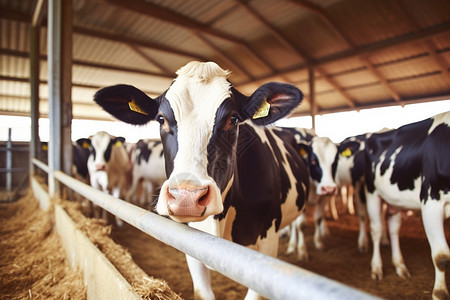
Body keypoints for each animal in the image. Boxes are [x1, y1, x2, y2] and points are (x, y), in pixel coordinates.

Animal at [360, 112, 448, 300]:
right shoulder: (431, 202)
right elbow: (441, 256)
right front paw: (439, 293)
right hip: (372, 194)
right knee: (377, 230)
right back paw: (377, 268)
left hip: (395, 200)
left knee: (393, 229)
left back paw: (400, 266)